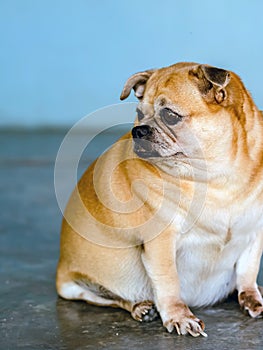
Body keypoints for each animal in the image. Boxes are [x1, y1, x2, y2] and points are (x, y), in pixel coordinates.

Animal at [56, 62, 263, 336]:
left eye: (170, 116)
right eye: (139, 113)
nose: (138, 129)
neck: (217, 177)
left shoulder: (254, 233)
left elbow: (248, 271)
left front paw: (251, 297)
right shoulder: (161, 244)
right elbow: (168, 281)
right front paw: (179, 316)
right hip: (73, 288)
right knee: (111, 298)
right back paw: (140, 307)